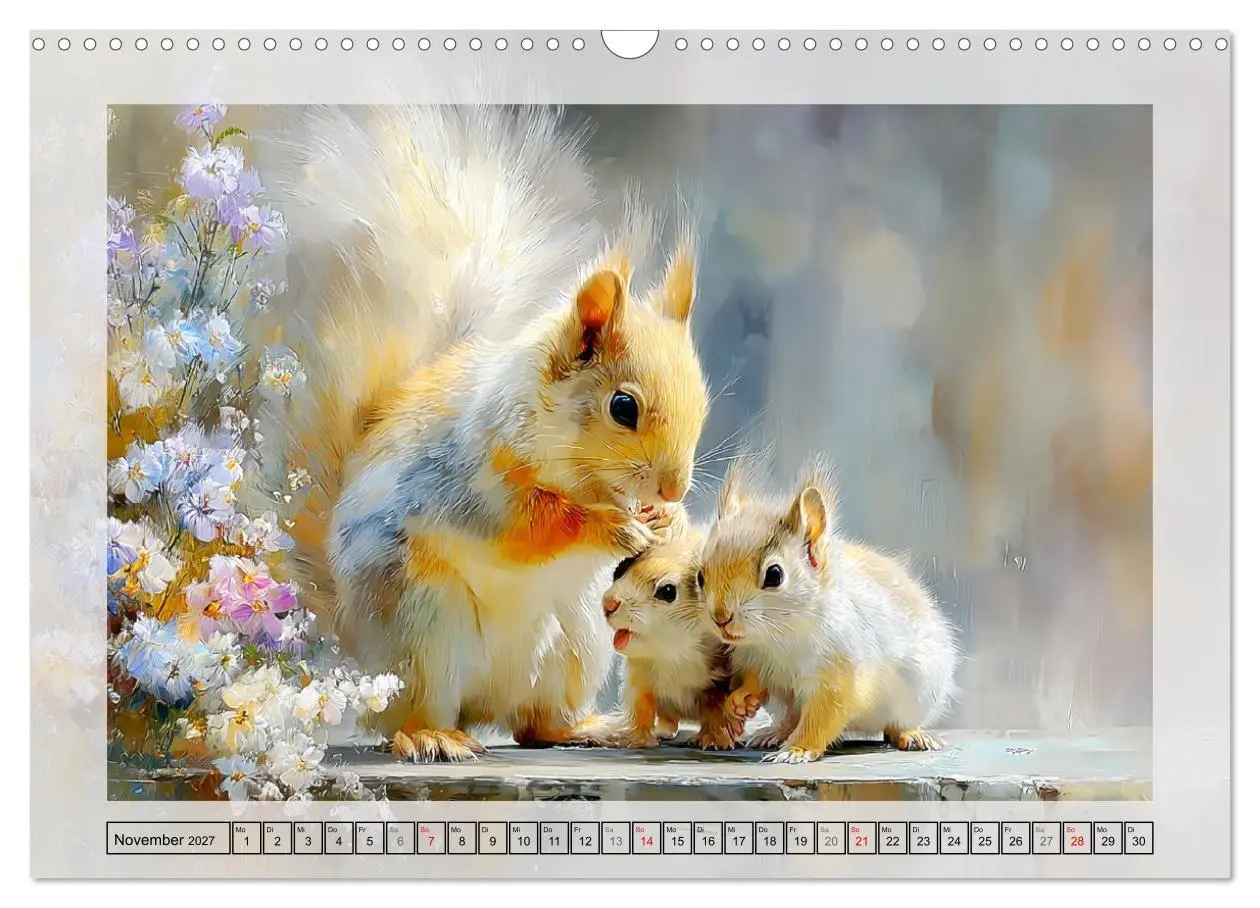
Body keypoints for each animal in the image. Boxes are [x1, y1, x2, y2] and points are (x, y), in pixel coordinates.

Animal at [261, 106, 710, 761]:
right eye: (623, 407)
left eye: (703, 401)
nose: (673, 489)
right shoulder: (471, 479)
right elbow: (529, 525)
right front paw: (611, 526)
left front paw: (666, 520)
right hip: (425, 633)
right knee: (417, 710)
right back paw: (432, 736)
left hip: (578, 641)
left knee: (534, 724)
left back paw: (588, 727)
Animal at [599, 506, 755, 750]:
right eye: (621, 567)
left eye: (668, 591)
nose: (609, 603)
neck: (672, 656)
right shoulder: (639, 682)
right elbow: (641, 711)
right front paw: (636, 739)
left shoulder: (717, 684)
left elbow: (714, 710)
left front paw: (715, 741)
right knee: (667, 718)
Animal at [699, 458, 959, 764]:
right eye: (700, 575)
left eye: (774, 575)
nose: (720, 618)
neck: (779, 636)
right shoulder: (756, 662)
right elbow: (754, 682)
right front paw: (740, 701)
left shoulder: (839, 671)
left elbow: (821, 716)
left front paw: (797, 751)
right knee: (790, 717)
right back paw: (773, 732)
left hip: (919, 693)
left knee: (896, 724)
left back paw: (912, 735)